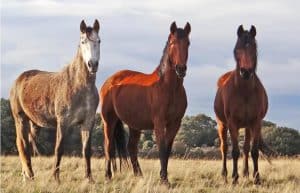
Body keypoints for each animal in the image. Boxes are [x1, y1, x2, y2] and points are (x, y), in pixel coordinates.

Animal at [9, 19, 101, 182]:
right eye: (83, 41)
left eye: (99, 41)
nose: (93, 65)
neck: (79, 86)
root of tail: (18, 80)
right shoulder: (63, 122)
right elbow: (59, 149)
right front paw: (56, 178)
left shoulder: (88, 122)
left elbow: (86, 150)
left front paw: (89, 179)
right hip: (20, 119)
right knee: (23, 144)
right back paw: (30, 176)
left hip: (35, 124)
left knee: (27, 144)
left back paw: (26, 176)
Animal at [99, 21, 191, 184]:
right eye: (173, 42)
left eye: (188, 43)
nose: (181, 69)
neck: (168, 87)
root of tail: (109, 81)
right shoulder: (159, 122)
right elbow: (162, 148)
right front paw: (164, 180)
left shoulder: (175, 123)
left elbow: (168, 149)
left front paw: (164, 177)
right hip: (109, 121)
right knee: (108, 146)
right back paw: (108, 176)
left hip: (134, 125)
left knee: (131, 147)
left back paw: (139, 175)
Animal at [213, 24, 274, 185]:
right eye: (237, 49)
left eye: (254, 48)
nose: (245, 72)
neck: (245, 91)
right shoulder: (232, 123)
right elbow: (234, 151)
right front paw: (234, 178)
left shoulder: (256, 122)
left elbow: (254, 151)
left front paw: (257, 178)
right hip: (222, 124)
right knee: (224, 148)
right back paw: (225, 175)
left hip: (247, 126)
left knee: (246, 148)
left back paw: (246, 173)